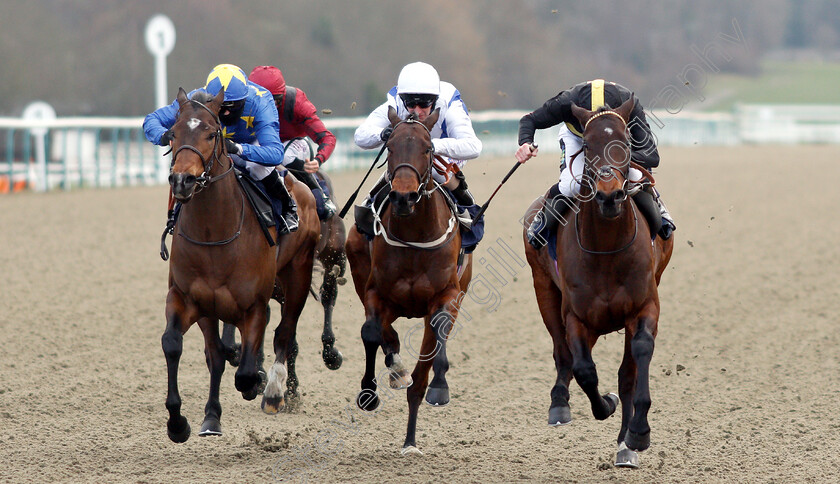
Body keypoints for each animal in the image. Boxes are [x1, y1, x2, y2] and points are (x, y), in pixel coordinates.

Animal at [162, 87, 320, 442]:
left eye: (211, 133)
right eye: (173, 133)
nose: (182, 180)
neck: (214, 233)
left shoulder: (254, 305)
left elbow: (246, 371)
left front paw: (256, 383)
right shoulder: (190, 300)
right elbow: (181, 347)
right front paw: (188, 421)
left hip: (298, 275)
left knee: (284, 333)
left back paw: (273, 392)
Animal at [342, 105, 472, 454]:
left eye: (428, 149)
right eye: (389, 146)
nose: (403, 197)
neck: (415, 238)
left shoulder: (447, 296)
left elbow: (435, 340)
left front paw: (438, 386)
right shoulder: (375, 293)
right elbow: (371, 332)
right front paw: (370, 391)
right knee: (383, 334)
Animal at [524, 96, 676, 466]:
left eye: (625, 142)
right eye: (589, 146)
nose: (609, 195)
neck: (606, 248)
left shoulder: (644, 305)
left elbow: (636, 362)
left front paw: (636, 435)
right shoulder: (576, 317)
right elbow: (584, 369)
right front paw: (604, 404)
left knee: (624, 370)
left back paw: (625, 443)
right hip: (543, 289)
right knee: (562, 354)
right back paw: (559, 405)